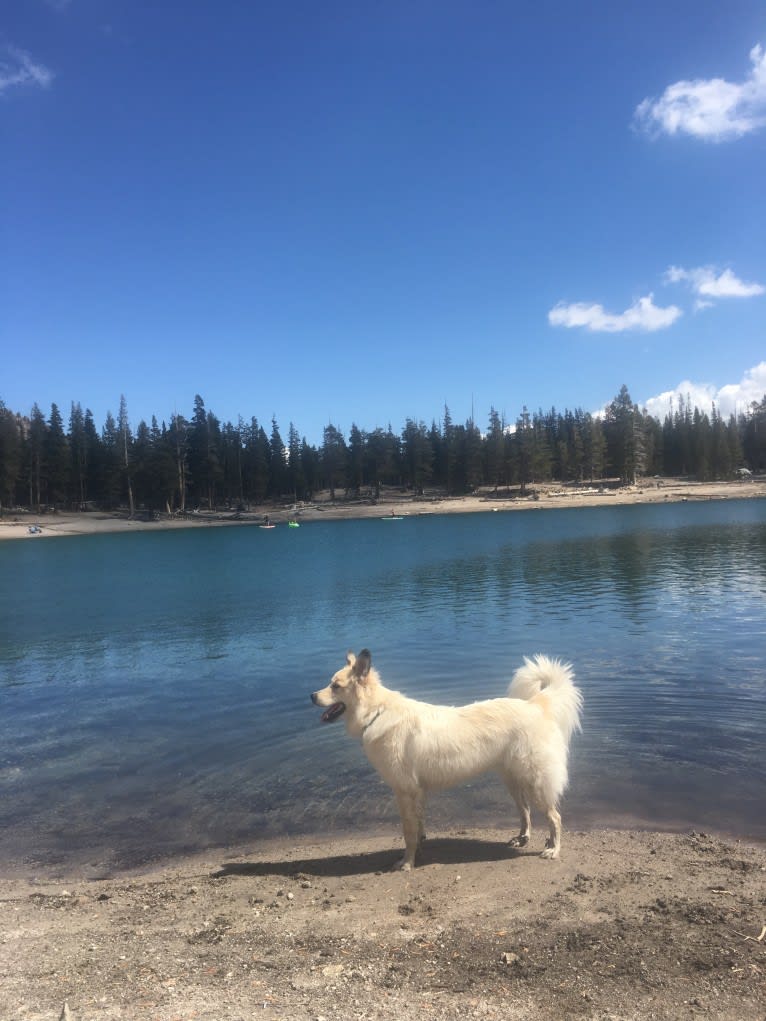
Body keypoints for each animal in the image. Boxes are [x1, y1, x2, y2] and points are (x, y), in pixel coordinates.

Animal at [312, 649, 580, 865]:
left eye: (335, 686)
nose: (312, 696)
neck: (377, 712)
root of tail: (536, 705)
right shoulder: (417, 792)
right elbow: (418, 827)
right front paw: (418, 851)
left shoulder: (405, 791)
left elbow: (408, 832)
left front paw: (406, 863)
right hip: (513, 781)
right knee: (525, 811)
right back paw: (523, 838)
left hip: (535, 782)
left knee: (555, 817)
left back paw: (553, 850)